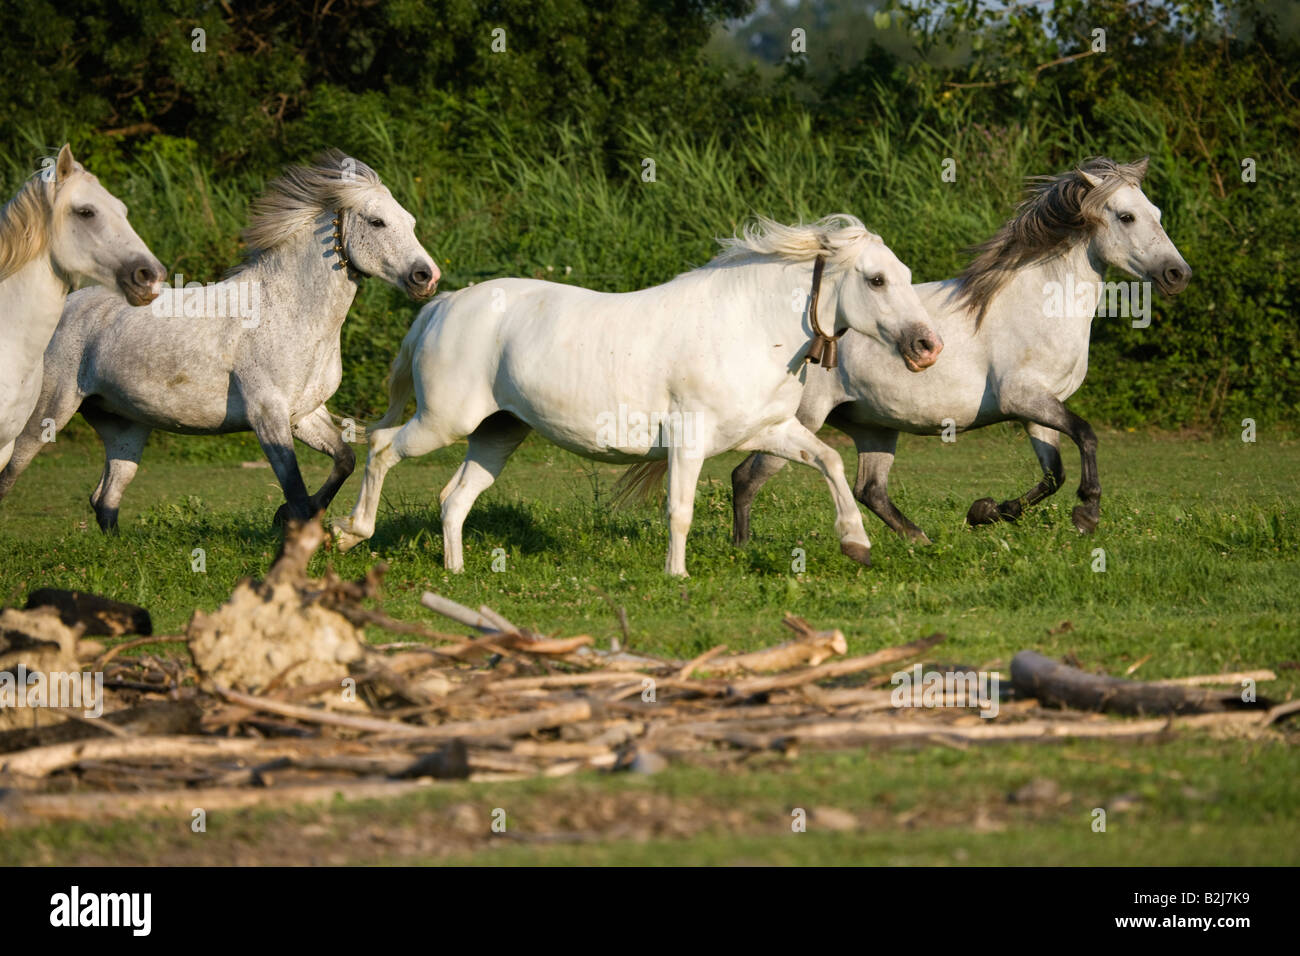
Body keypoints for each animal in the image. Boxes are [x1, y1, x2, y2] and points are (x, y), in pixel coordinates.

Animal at [332, 214, 944, 576]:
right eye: (876, 280)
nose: (928, 346)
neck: (744, 327)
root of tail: (442, 306)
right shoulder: (689, 442)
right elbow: (680, 509)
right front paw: (678, 575)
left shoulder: (769, 430)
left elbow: (830, 461)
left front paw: (856, 543)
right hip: (444, 421)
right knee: (382, 447)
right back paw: (350, 534)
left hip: (496, 434)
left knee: (453, 499)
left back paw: (455, 571)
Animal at [725, 158, 1192, 545]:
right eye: (1127, 216)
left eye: (1157, 214)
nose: (1177, 274)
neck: (1037, 305)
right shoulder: (1023, 397)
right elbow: (1087, 435)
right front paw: (1087, 513)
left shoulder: (1039, 407)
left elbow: (1053, 474)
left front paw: (985, 511)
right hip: (801, 420)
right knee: (746, 477)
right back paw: (742, 550)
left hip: (873, 425)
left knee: (870, 489)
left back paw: (921, 541)